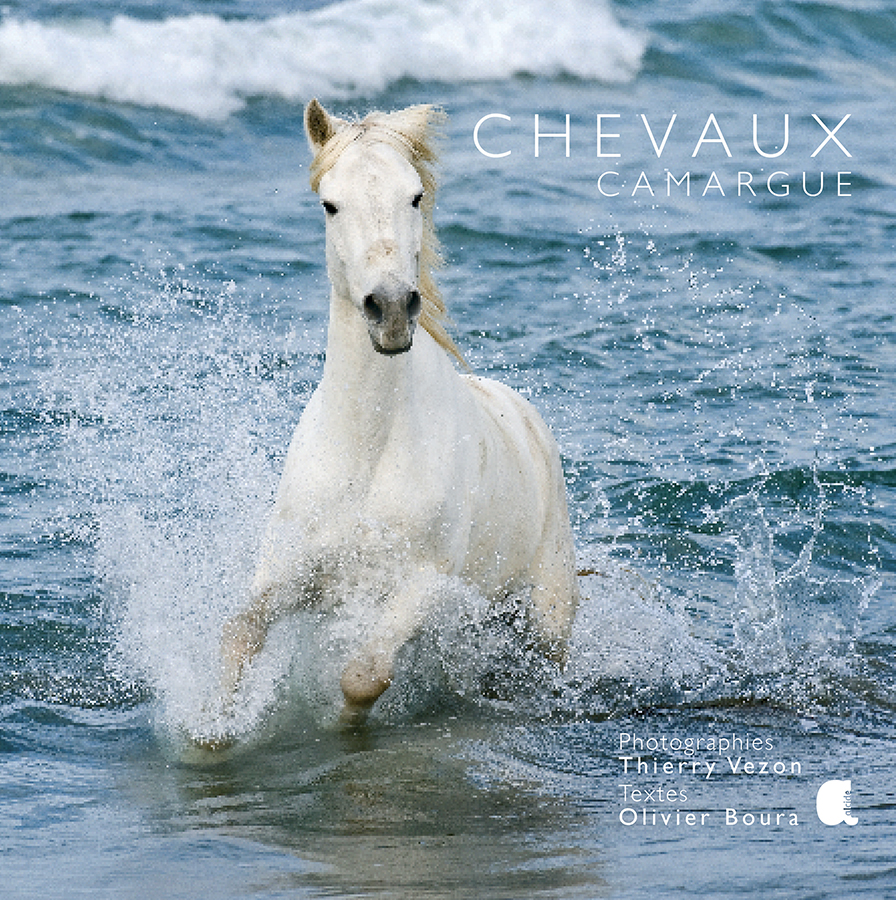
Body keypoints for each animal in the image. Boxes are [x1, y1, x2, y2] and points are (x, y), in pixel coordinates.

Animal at [220, 98, 576, 720]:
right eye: (330, 204)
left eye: (414, 196)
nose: (389, 308)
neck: (367, 449)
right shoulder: (287, 573)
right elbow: (236, 636)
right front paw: (208, 731)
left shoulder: (422, 586)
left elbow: (364, 676)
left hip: (548, 610)